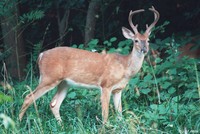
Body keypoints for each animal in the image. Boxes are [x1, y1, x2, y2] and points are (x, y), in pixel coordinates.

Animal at [18, 6, 159, 123]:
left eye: (148, 40)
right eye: (136, 40)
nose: (144, 49)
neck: (125, 67)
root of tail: (41, 55)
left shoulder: (118, 89)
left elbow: (120, 113)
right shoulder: (105, 85)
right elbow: (105, 114)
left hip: (64, 83)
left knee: (54, 104)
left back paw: (62, 126)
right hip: (49, 78)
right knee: (28, 98)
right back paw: (19, 124)